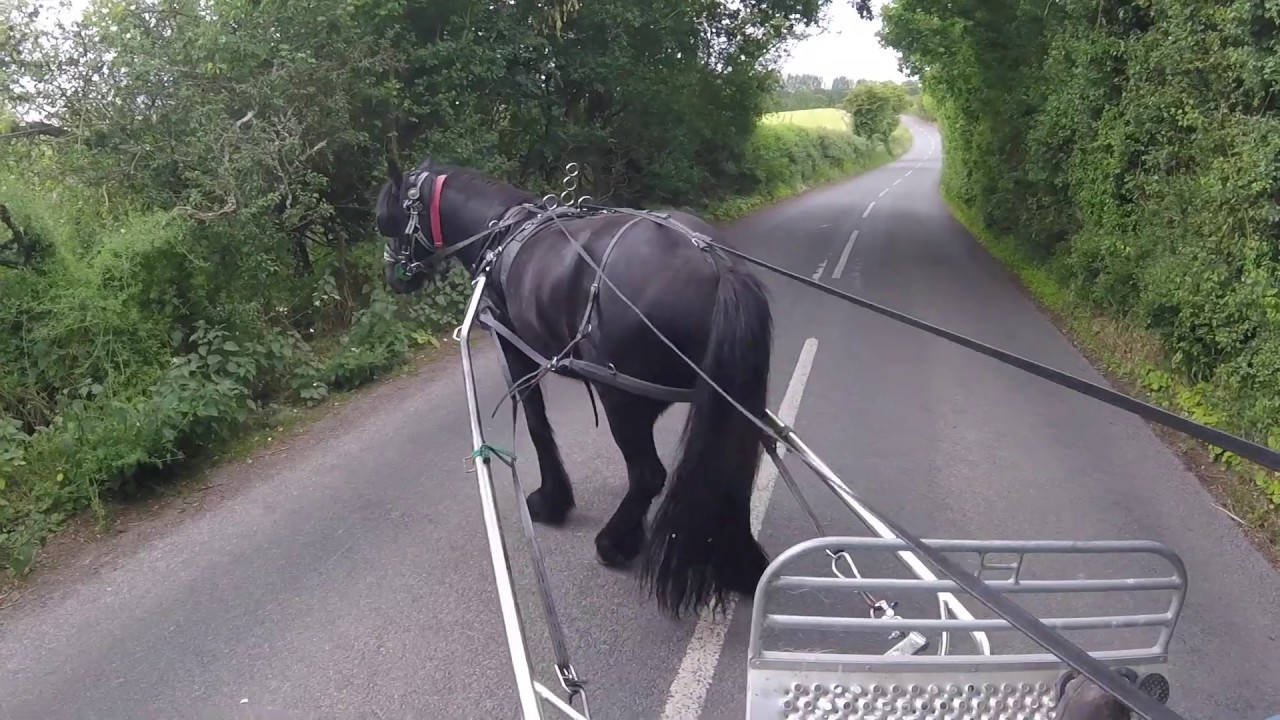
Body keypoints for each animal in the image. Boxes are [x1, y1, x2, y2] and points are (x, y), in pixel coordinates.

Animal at [375, 154, 775, 619]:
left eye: (386, 219)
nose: (394, 276)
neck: (499, 232)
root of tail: (716, 265)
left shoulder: (514, 348)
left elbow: (535, 422)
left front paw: (551, 500)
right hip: (726, 400)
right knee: (728, 470)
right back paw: (740, 564)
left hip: (621, 397)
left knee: (648, 474)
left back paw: (614, 542)